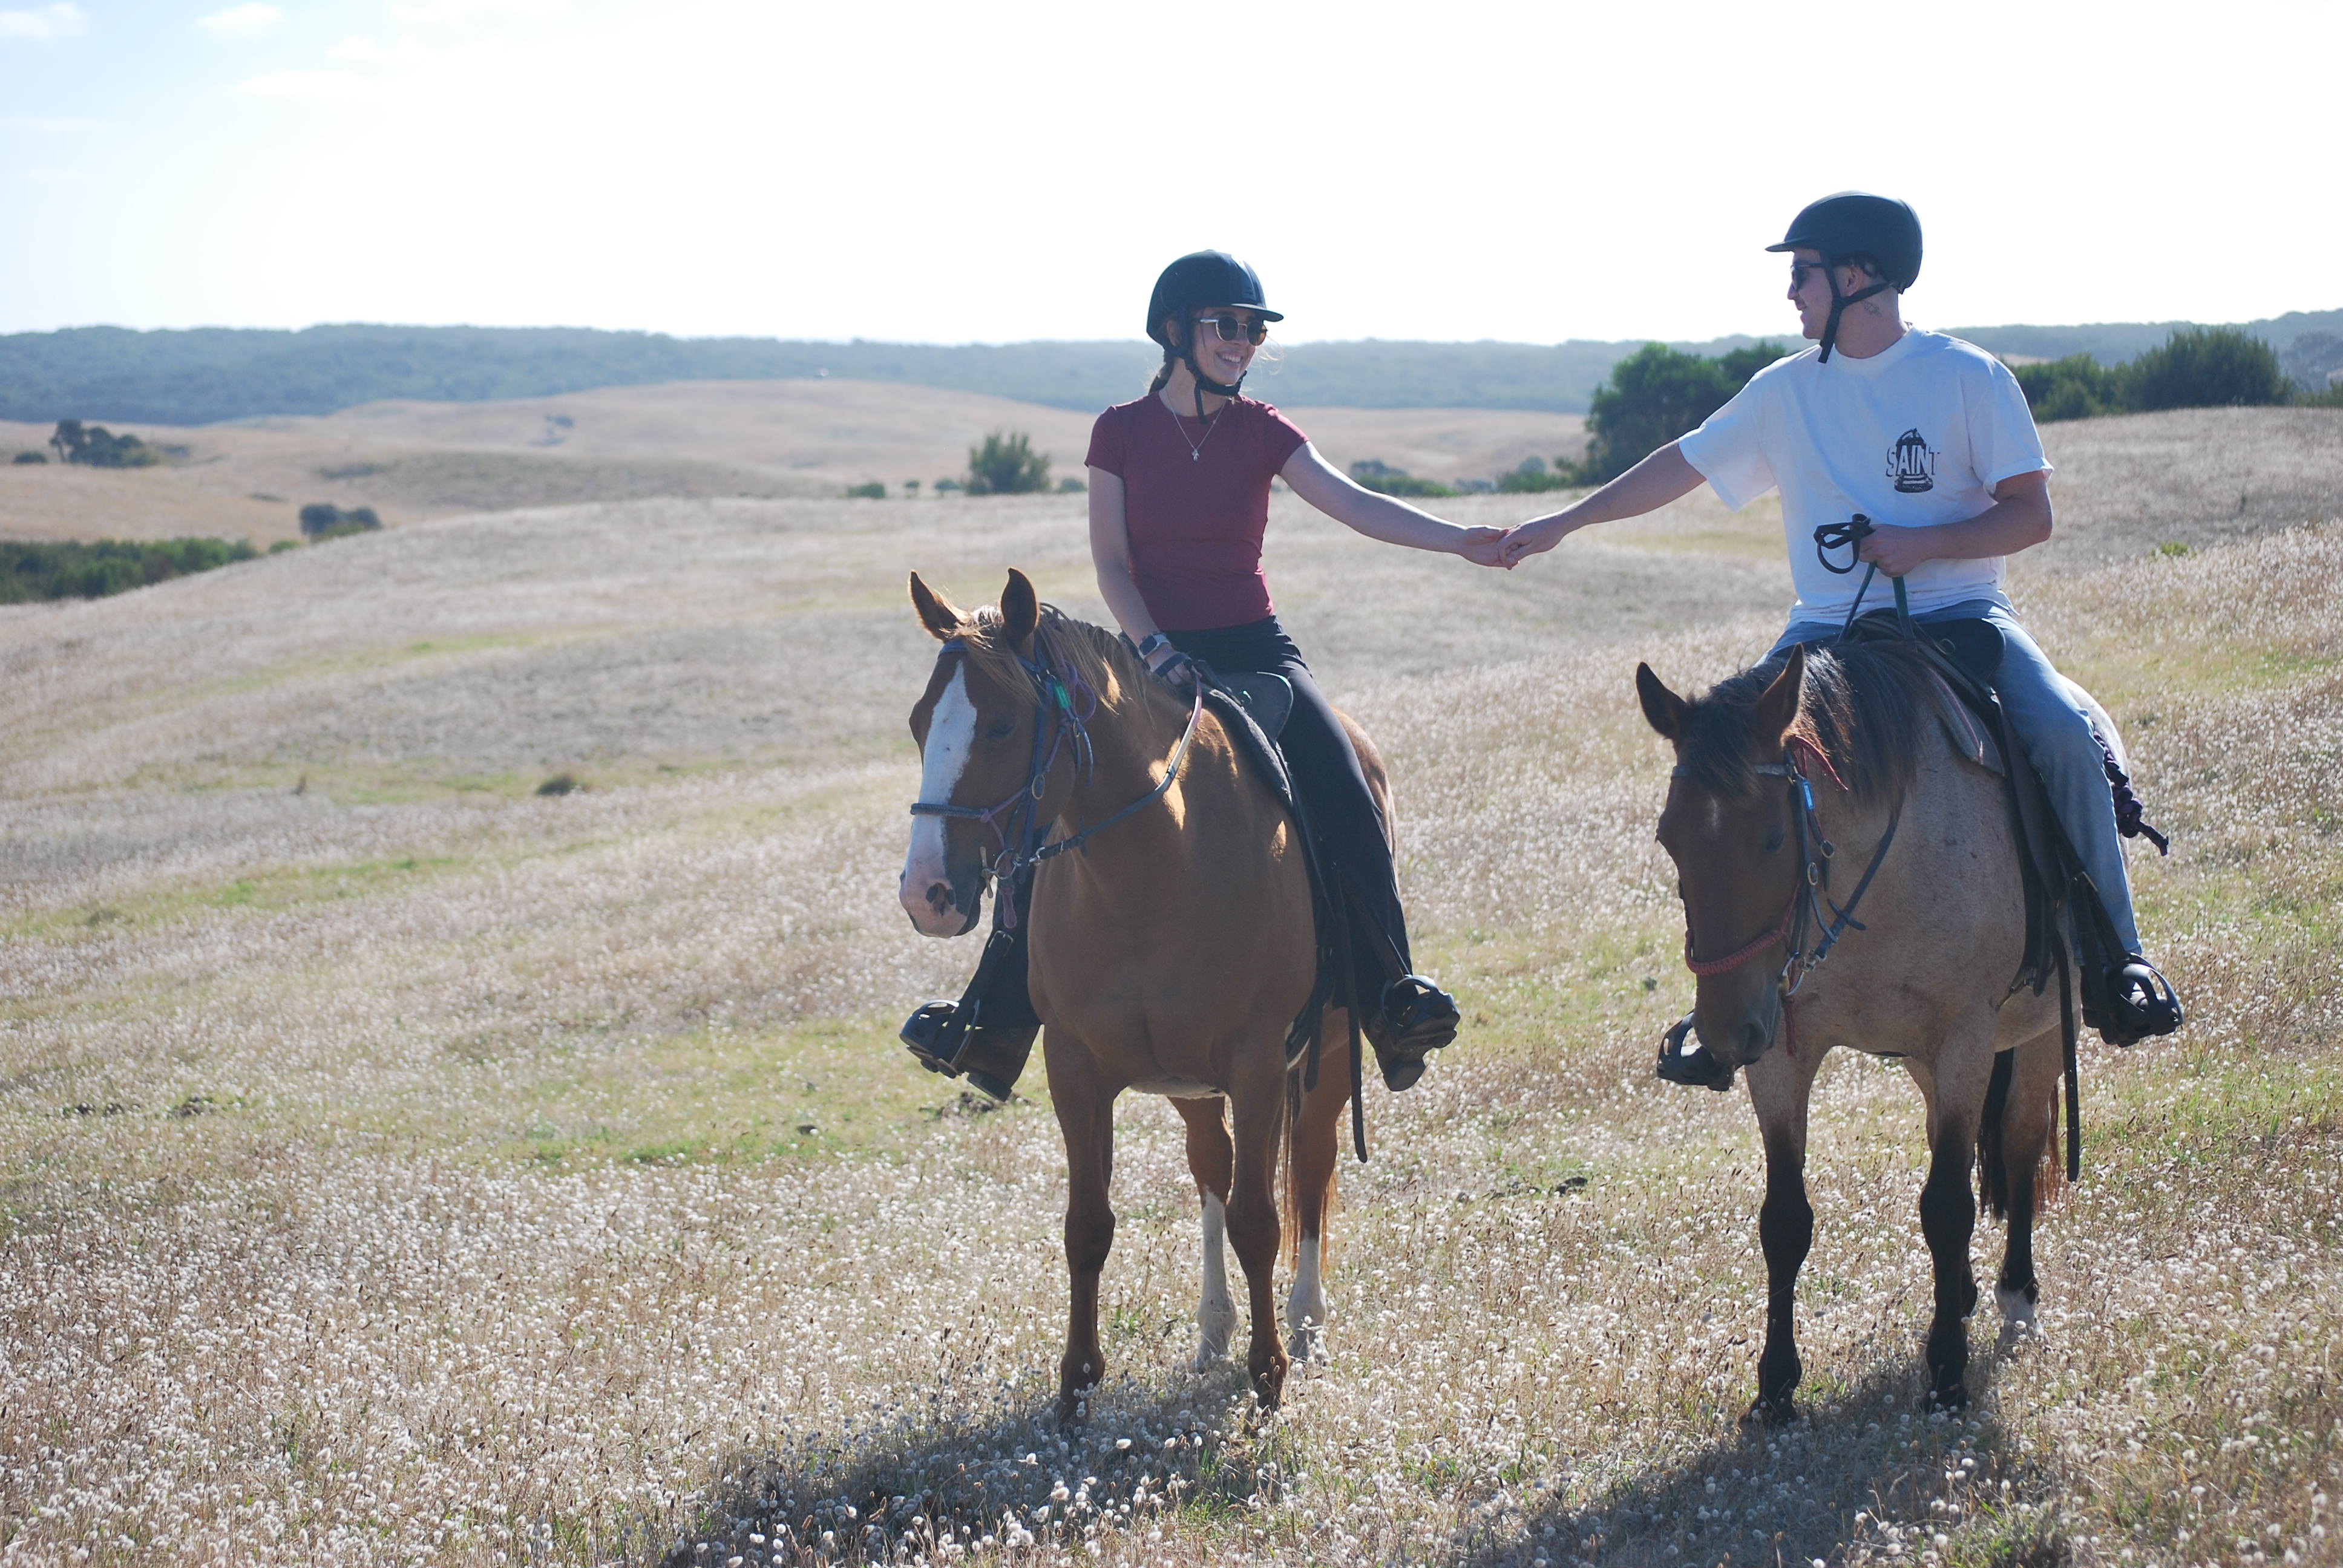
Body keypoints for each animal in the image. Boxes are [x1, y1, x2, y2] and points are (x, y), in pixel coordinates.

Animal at [898, 569, 1374, 1414]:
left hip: (1321, 1057)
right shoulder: (1075, 1068)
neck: (1150, 867)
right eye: (922, 723)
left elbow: (1260, 1220)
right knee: (1212, 1166)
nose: (926, 894)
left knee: (1309, 1169)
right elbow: (1088, 1225)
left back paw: (1305, 1327)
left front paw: (1269, 1376)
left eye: (1002, 727)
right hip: (1190, 1083)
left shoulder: (1258, 1061)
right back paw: (1213, 1331)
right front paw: (1076, 1387)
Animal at [1636, 637, 2073, 1417]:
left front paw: (1946, 1374)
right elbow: (1784, 1219)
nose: (1722, 1034)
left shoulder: (1964, 1040)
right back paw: (1962, 1292)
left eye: (1773, 837)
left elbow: (1948, 1207)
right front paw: (1774, 1386)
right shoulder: (1781, 1055)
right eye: (1668, 839)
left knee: (2017, 1147)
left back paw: (2014, 1297)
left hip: (2033, 1036)